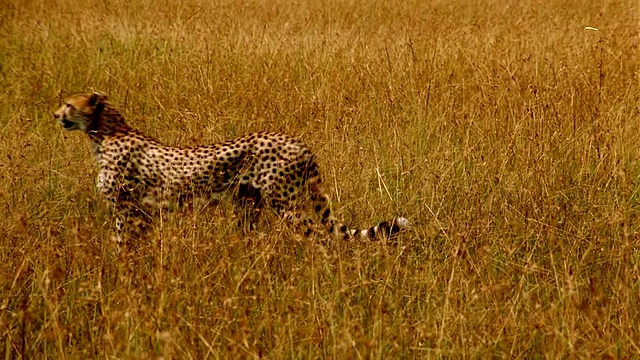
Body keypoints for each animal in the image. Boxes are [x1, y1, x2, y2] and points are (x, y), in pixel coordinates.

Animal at [52, 91, 408, 242]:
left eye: (69, 104)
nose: (55, 115)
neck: (105, 132)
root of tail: (298, 141)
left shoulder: (126, 211)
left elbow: (121, 244)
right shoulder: (144, 214)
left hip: (285, 203)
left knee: (320, 236)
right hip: (249, 203)